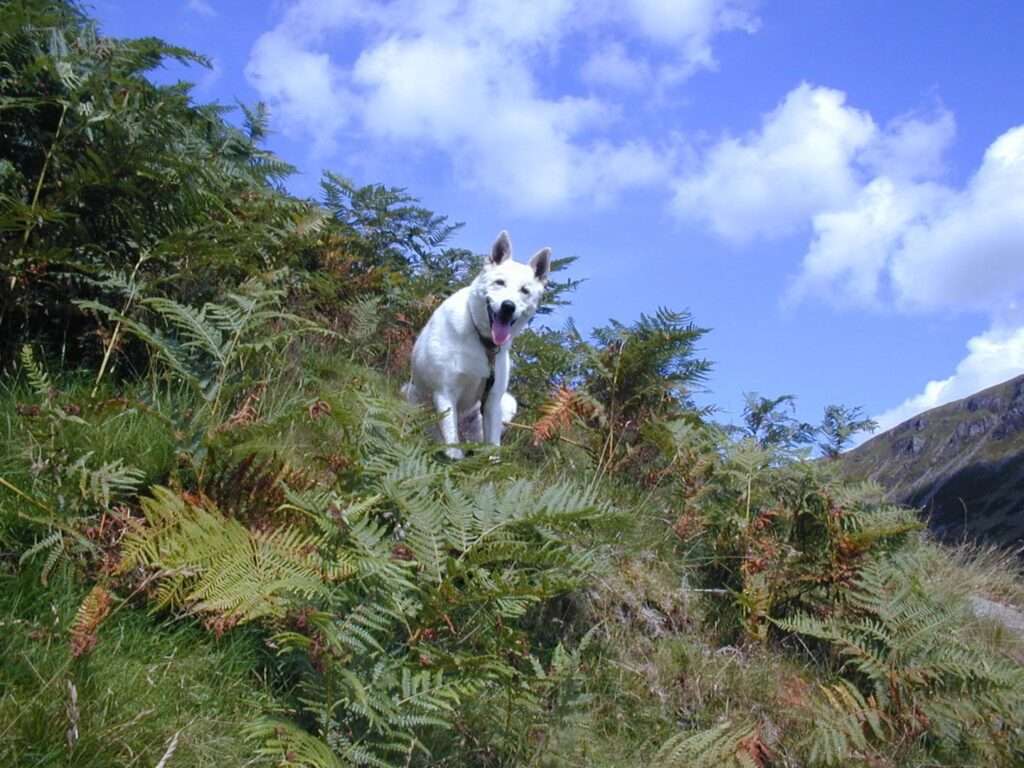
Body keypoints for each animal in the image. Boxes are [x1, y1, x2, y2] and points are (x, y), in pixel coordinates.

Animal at [405, 228, 552, 456]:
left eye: (525, 291)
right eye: (499, 282)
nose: (508, 306)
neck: (482, 341)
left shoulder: (491, 401)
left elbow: (493, 449)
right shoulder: (445, 393)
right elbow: (451, 441)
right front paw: (454, 458)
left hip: (502, 406)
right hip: (414, 399)